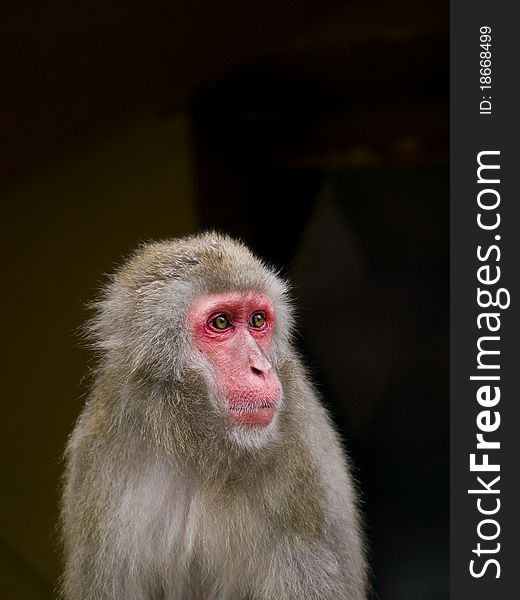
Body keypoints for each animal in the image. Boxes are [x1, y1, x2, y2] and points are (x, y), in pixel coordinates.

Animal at [61, 232, 368, 596]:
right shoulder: (100, 450)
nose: (260, 368)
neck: (197, 445)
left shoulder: (305, 464)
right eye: (221, 322)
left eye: (257, 320)